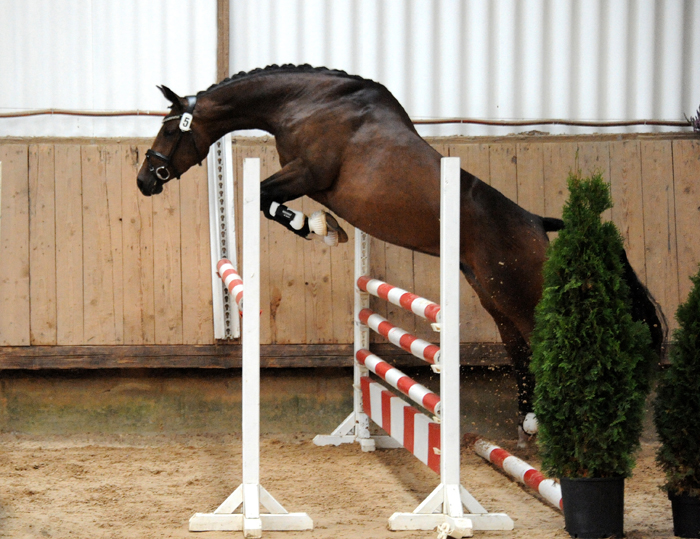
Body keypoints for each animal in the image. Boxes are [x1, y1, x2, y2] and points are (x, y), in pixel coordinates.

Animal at [138, 64, 668, 442]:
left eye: (169, 130)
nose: (145, 181)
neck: (306, 104)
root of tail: (539, 223)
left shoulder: (308, 173)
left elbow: (270, 200)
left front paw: (318, 229)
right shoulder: (306, 178)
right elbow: (271, 202)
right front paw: (324, 228)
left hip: (517, 292)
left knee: (544, 345)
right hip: (493, 295)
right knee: (520, 351)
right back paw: (529, 424)